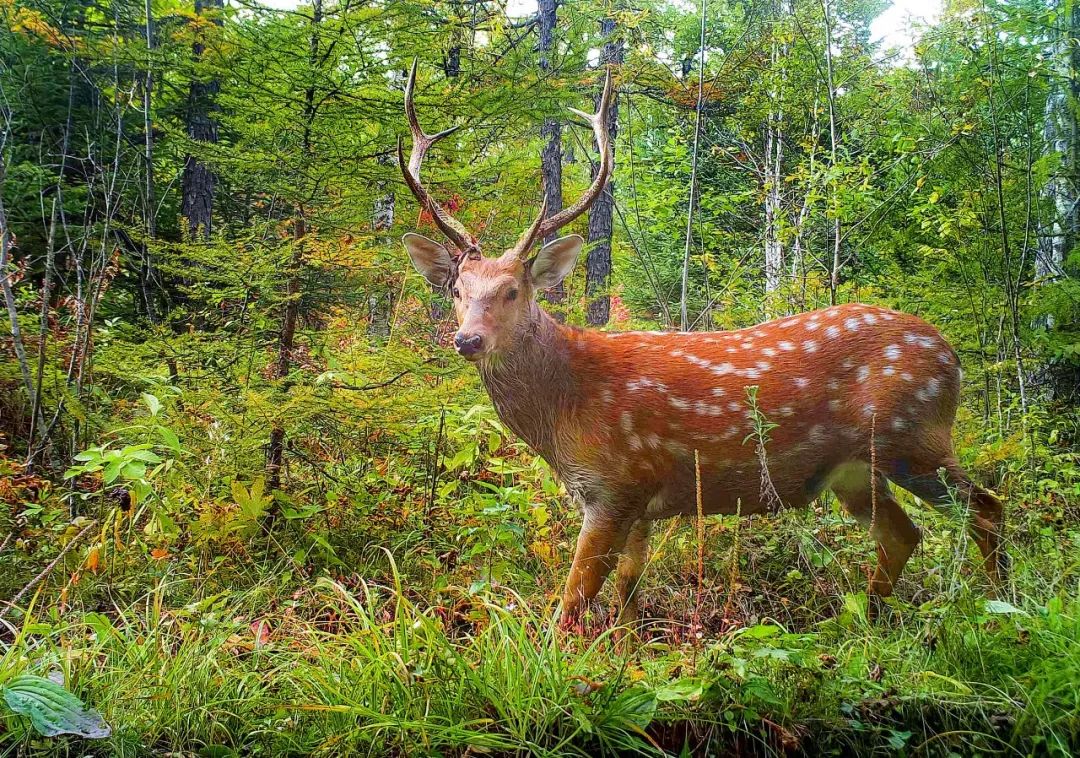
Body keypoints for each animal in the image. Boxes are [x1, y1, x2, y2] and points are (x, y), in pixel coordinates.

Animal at [395, 62, 1002, 626]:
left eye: (513, 290)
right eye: (456, 290)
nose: (467, 339)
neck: (565, 411)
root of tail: (952, 357)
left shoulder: (615, 485)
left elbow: (572, 601)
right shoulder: (640, 502)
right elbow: (627, 595)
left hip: (912, 437)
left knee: (986, 508)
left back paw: (1000, 611)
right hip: (856, 470)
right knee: (903, 535)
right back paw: (862, 622)